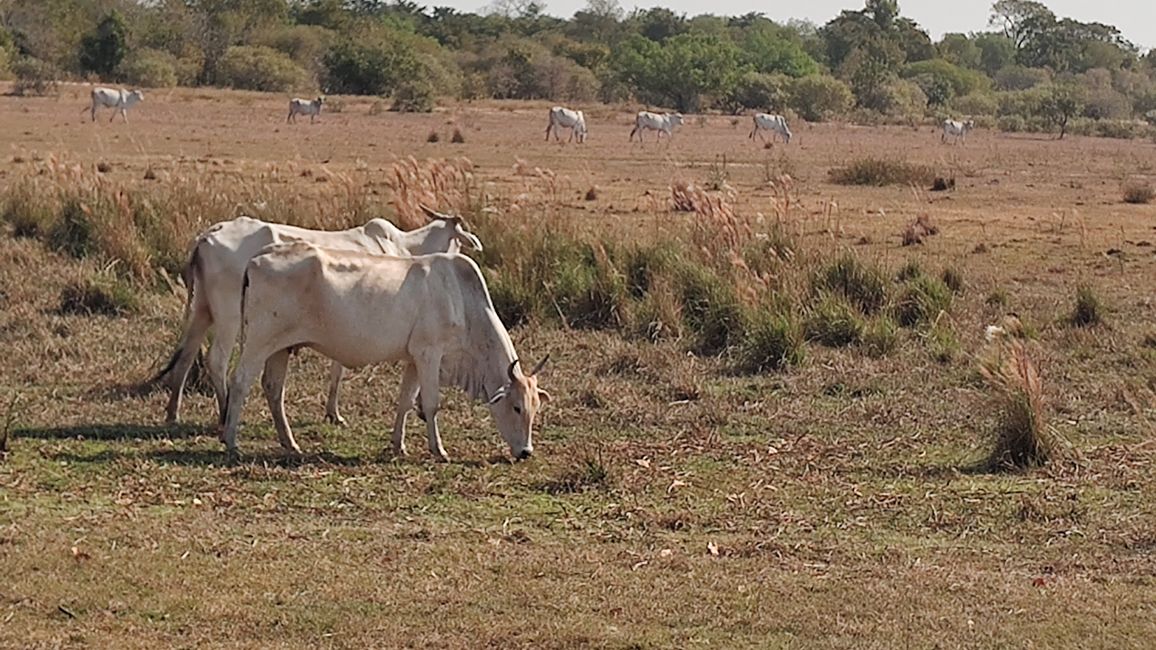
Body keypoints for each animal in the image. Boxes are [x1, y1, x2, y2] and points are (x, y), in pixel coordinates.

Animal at [152, 205, 478, 425]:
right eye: (459, 240)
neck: (402, 247)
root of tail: (207, 235)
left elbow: (337, 367)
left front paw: (333, 412)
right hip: (229, 314)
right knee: (217, 360)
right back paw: (223, 413)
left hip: (202, 310)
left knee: (186, 355)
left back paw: (172, 413)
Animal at [227, 242, 552, 460]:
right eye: (516, 407)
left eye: (536, 408)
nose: (526, 452)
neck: (463, 300)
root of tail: (258, 257)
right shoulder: (430, 353)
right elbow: (431, 404)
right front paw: (439, 450)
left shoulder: (414, 359)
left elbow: (405, 402)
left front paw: (399, 445)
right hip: (258, 342)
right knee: (240, 382)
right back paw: (231, 442)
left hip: (280, 348)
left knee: (273, 389)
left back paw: (290, 443)